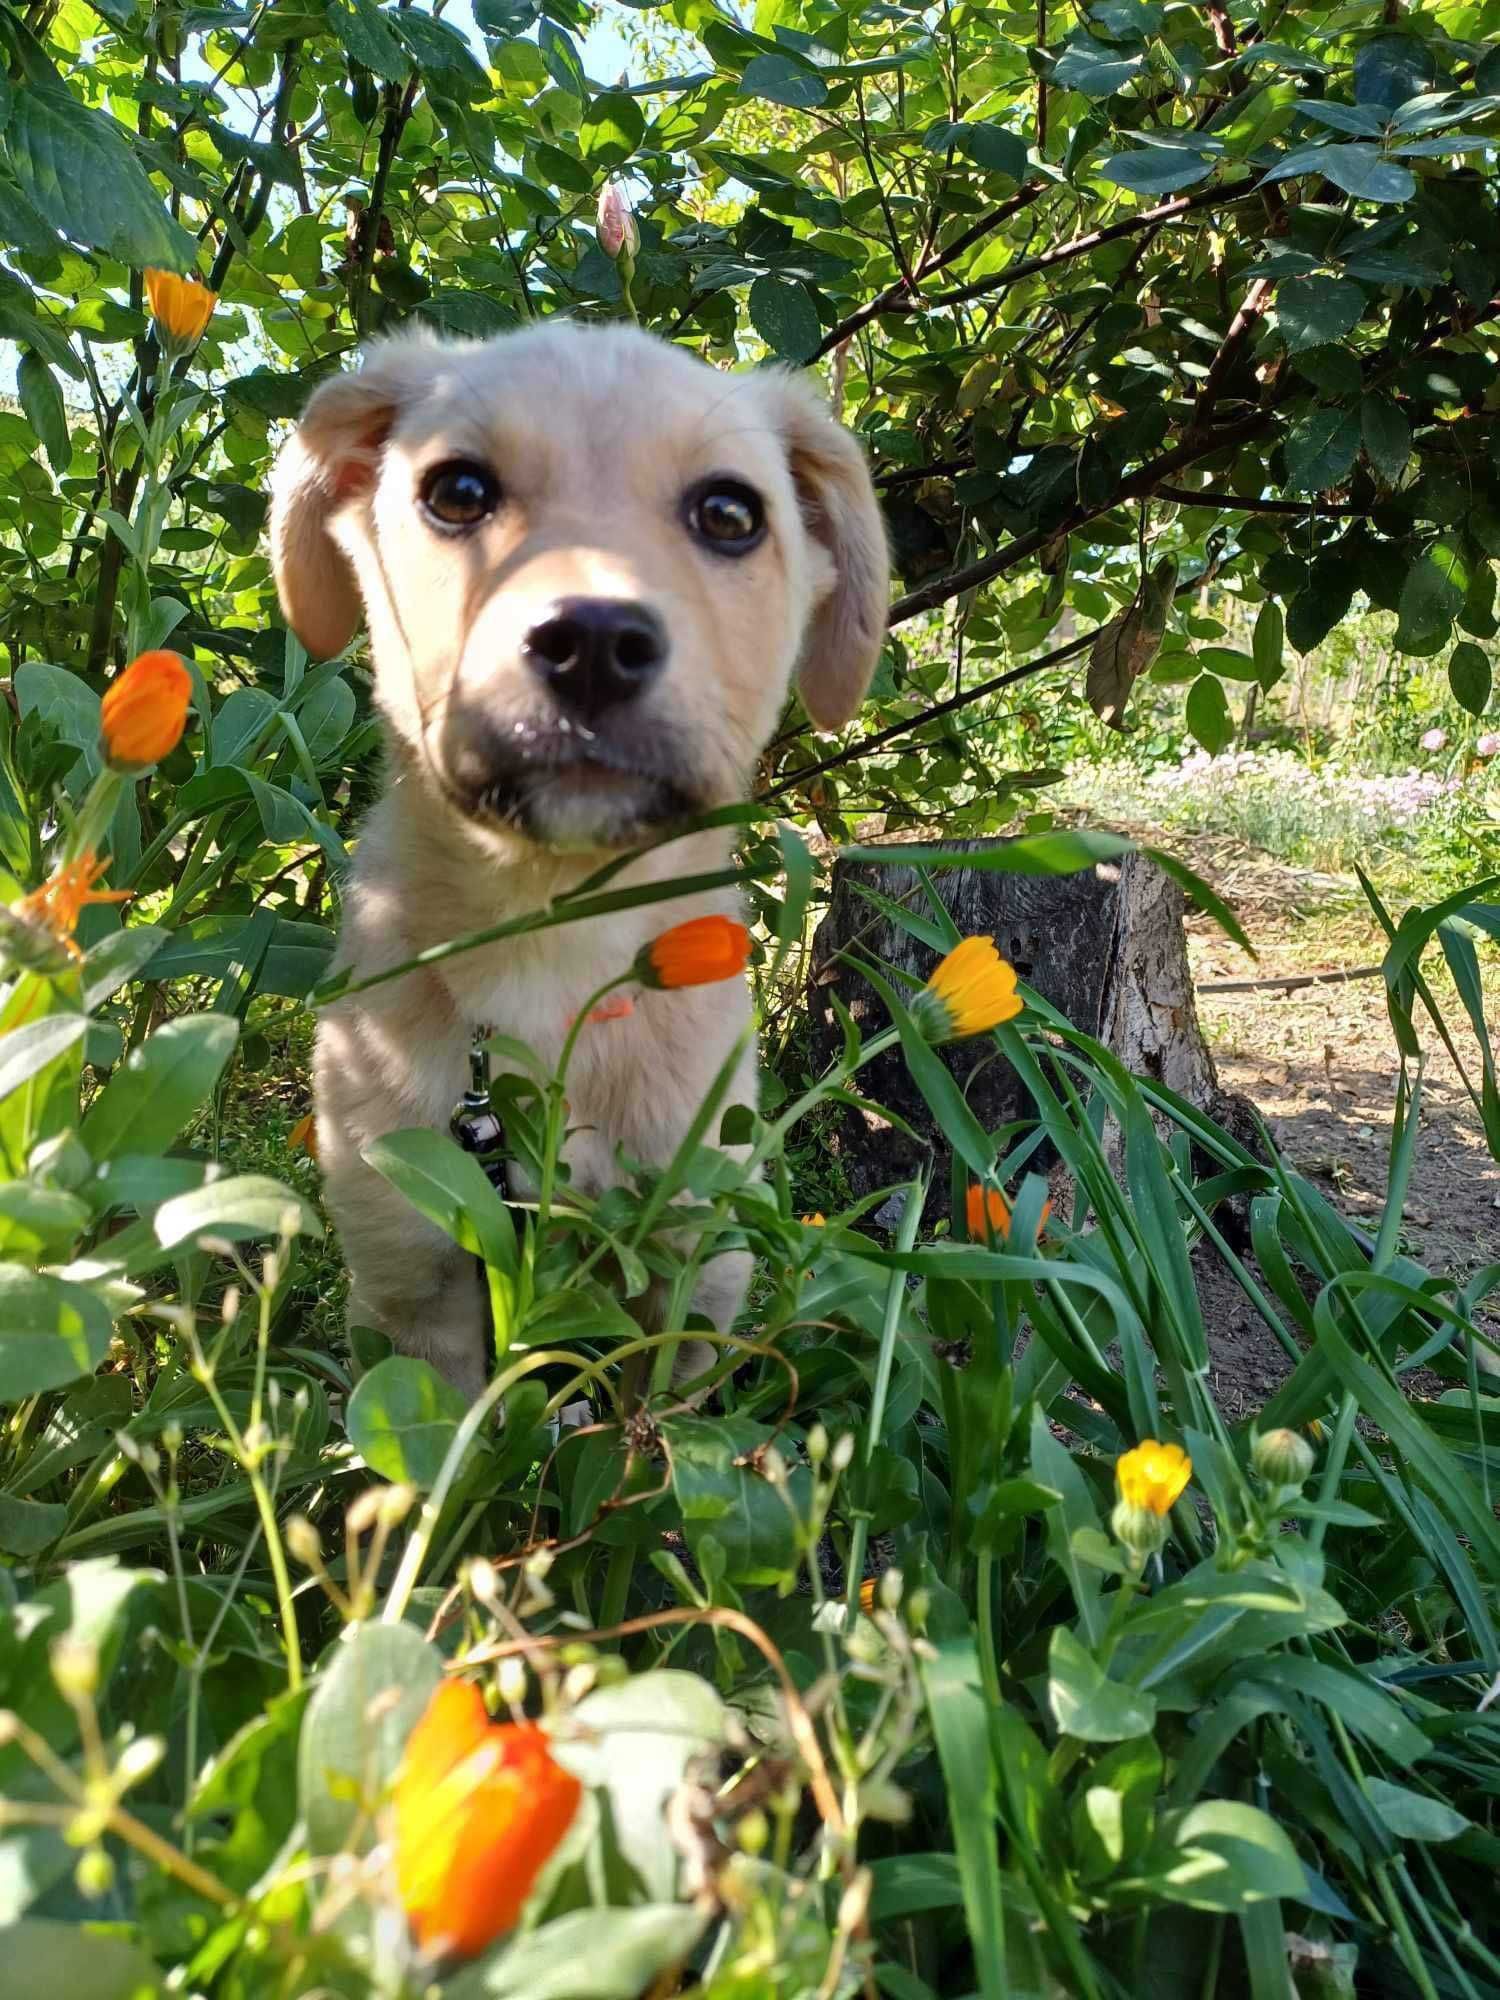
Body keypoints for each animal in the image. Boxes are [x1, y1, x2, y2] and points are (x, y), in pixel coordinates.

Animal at [272, 324, 892, 1392]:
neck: (554, 942)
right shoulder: (412, 1284)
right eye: (458, 491)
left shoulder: (690, 1271)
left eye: (730, 513)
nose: (592, 643)